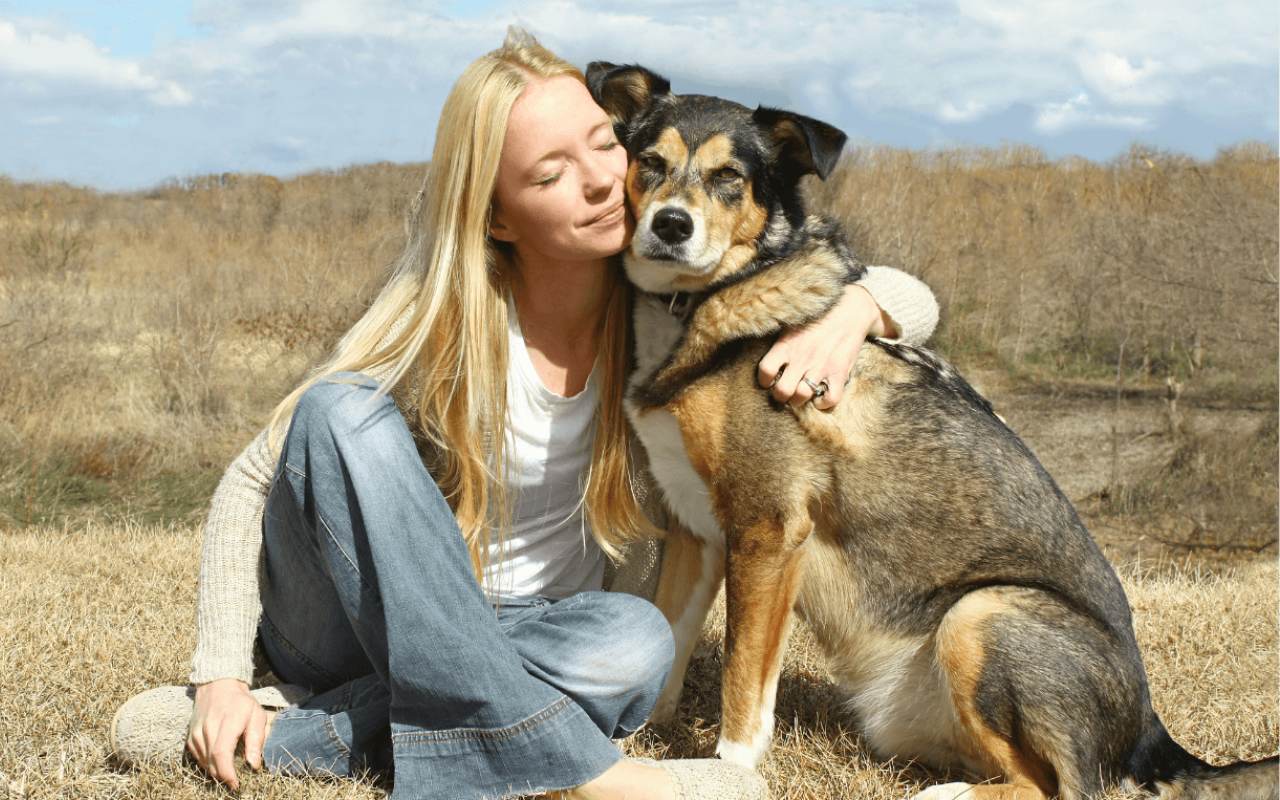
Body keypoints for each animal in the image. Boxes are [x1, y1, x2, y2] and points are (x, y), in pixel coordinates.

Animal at [586, 57, 1274, 798]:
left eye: (729, 178)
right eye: (649, 162)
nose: (671, 226)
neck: (705, 305)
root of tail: (1152, 736)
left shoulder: (768, 530)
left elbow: (743, 681)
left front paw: (730, 771)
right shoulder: (699, 531)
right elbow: (669, 637)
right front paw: (636, 742)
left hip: (981, 614)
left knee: (1057, 787)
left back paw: (946, 793)